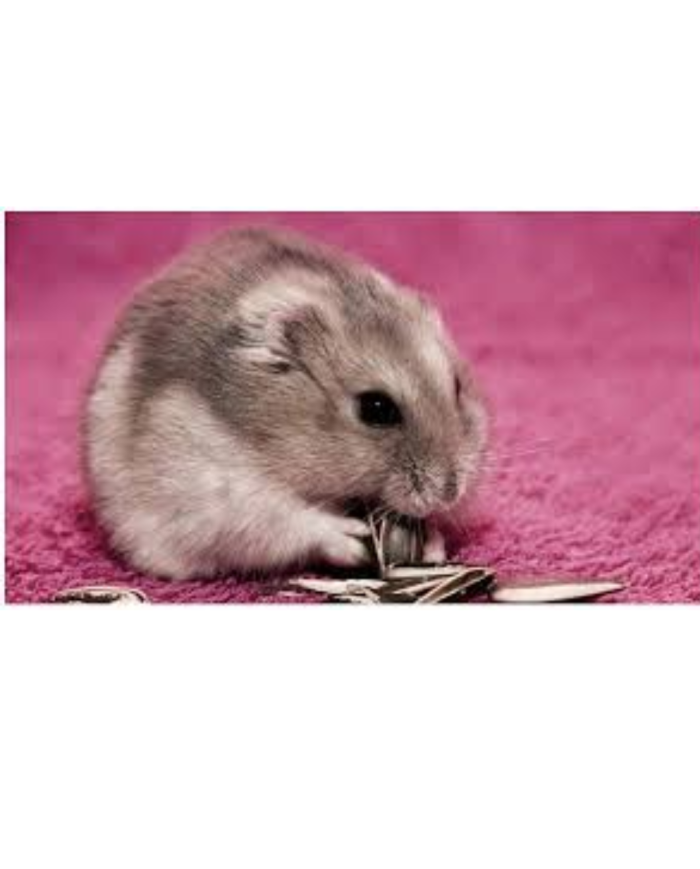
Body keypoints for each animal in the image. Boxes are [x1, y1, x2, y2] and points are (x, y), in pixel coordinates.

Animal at [83, 227, 488, 580]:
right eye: (376, 409)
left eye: (456, 386)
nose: (450, 493)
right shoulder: (223, 496)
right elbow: (292, 520)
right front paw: (351, 538)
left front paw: (433, 546)